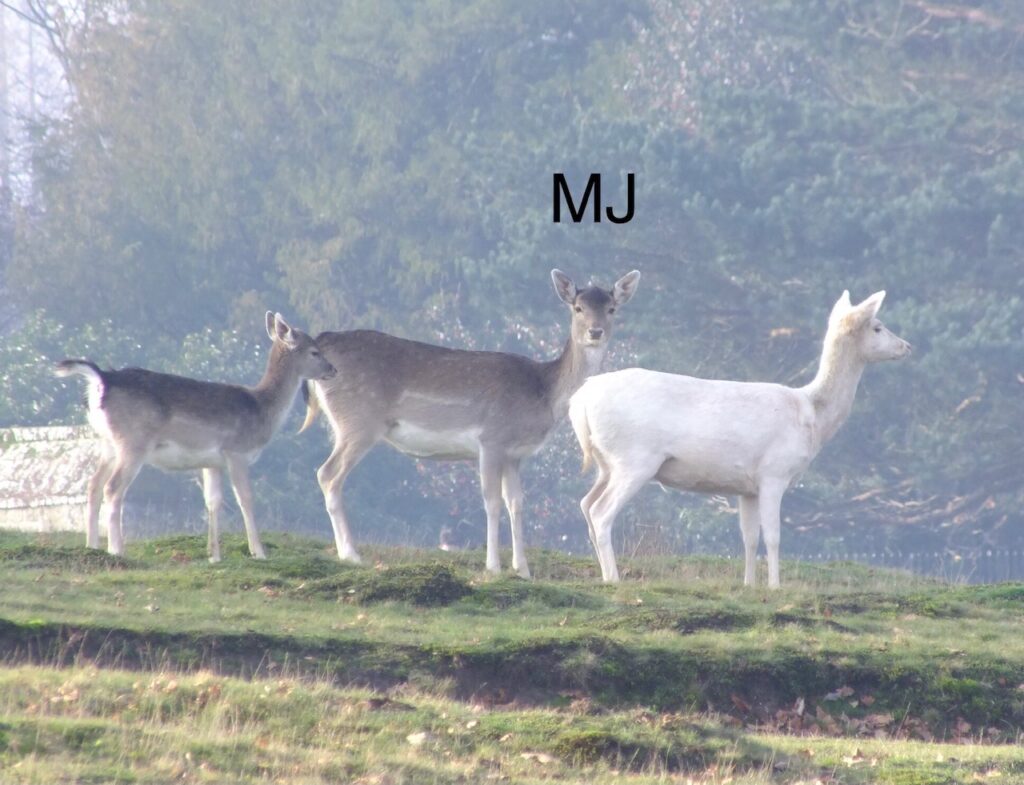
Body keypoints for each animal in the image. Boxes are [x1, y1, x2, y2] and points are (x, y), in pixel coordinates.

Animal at [55, 313, 336, 561]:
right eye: (314, 351)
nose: (332, 369)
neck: (261, 410)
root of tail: (101, 380)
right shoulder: (236, 452)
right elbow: (245, 498)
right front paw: (259, 552)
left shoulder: (212, 462)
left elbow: (213, 501)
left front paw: (214, 555)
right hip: (133, 443)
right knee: (113, 488)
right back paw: (117, 550)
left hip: (107, 443)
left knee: (93, 485)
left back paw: (92, 546)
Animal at [300, 269, 641, 578]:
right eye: (578, 307)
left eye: (612, 308)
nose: (595, 332)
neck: (543, 395)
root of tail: (321, 345)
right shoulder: (492, 438)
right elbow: (491, 501)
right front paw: (493, 566)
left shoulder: (515, 454)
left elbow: (516, 503)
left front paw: (523, 570)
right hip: (359, 421)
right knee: (328, 473)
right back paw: (350, 554)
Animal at [569, 290, 911, 588]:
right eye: (878, 326)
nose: (906, 346)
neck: (812, 415)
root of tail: (580, 399)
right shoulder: (774, 472)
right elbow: (773, 535)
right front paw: (775, 586)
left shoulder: (746, 488)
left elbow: (749, 537)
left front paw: (749, 584)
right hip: (635, 459)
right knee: (601, 512)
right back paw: (614, 578)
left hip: (606, 463)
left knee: (586, 503)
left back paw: (603, 572)